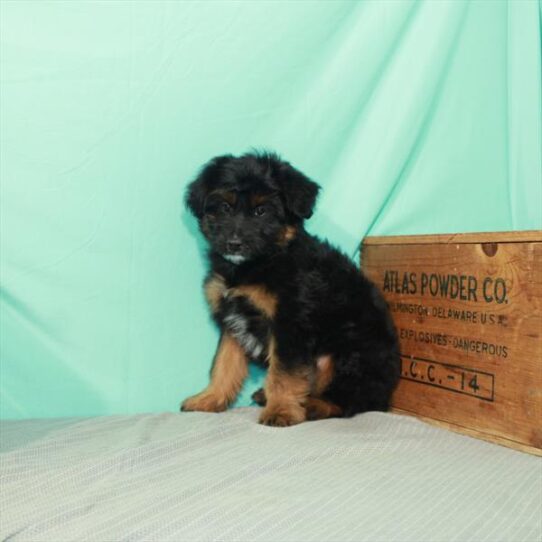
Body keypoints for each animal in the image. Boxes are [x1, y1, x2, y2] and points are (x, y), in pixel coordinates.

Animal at [181, 151, 402, 428]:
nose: (234, 244)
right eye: (224, 208)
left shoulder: (290, 323)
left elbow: (284, 372)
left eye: (261, 211)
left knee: (352, 400)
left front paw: (281, 410)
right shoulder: (233, 320)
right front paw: (209, 398)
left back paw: (313, 406)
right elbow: (224, 364)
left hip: (351, 356)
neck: (260, 263)